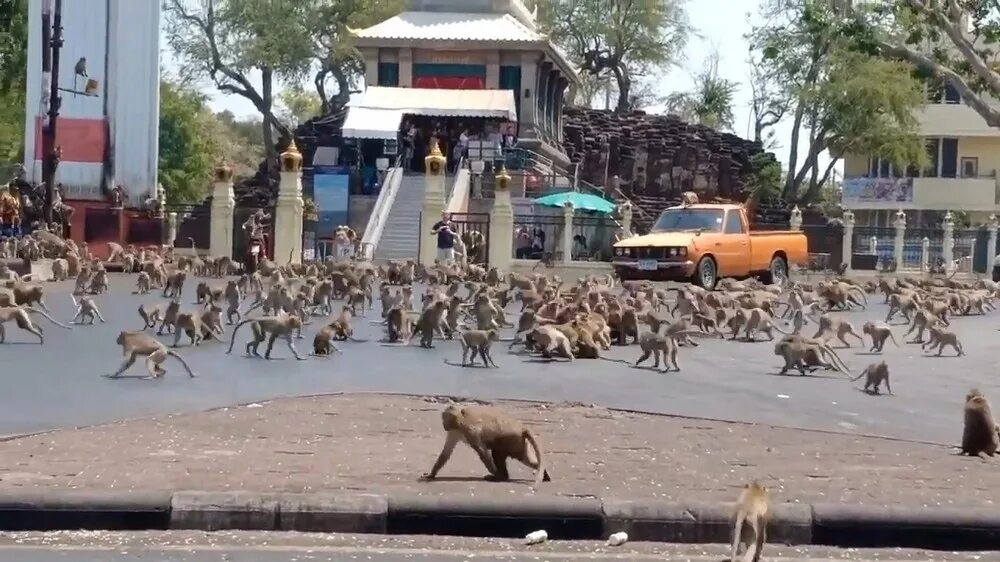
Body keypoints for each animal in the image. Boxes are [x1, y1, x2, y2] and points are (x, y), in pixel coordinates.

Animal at [418, 402, 552, 486]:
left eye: (444, 418)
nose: (444, 425)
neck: (460, 418)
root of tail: (522, 428)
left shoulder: (469, 430)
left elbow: (482, 452)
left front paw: (496, 474)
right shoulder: (454, 431)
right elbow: (446, 453)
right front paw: (431, 475)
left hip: (511, 440)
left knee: (497, 454)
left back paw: (501, 477)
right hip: (519, 443)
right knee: (525, 459)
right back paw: (543, 473)